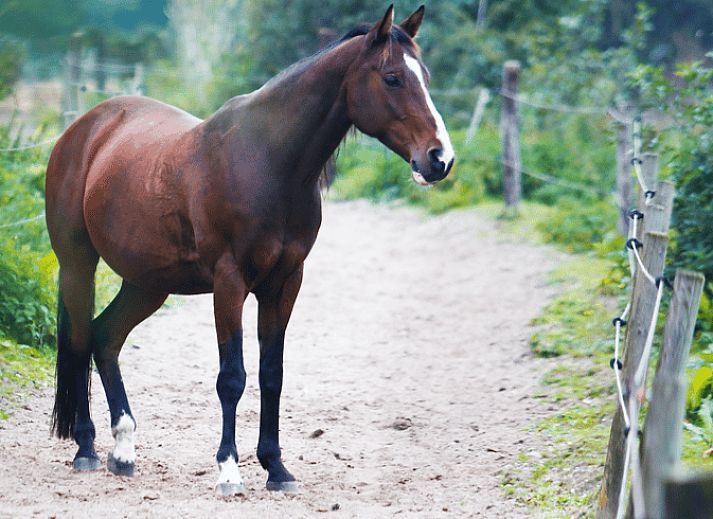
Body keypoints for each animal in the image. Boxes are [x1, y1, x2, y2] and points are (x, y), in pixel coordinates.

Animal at [46, 5, 456, 496]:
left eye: (424, 77)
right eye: (392, 77)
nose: (439, 159)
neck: (268, 163)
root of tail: (86, 128)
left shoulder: (284, 284)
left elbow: (271, 375)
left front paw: (276, 468)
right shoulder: (230, 283)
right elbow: (232, 377)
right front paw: (229, 469)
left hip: (147, 284)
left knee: (105, 337)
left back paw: (123, 451)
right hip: (78, 265)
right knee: (79, 338)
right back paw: (86, 448)